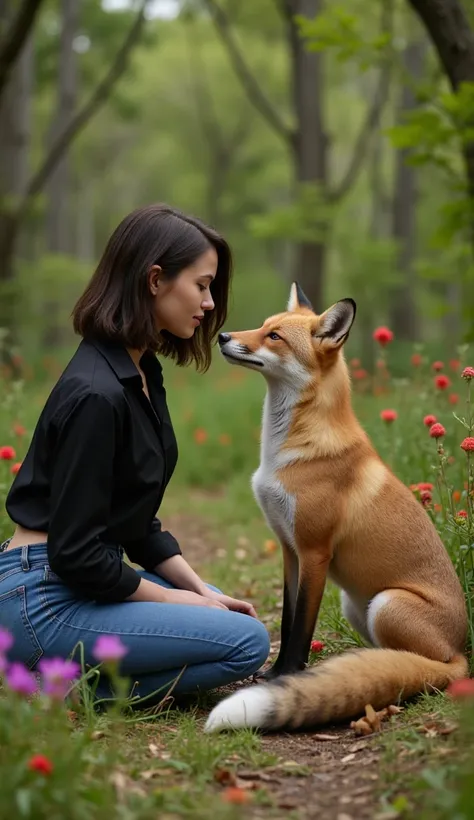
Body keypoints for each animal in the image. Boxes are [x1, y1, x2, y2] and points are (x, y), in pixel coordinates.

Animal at [205, 286, 470, 732]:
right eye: (263, 325)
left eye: (274, 336)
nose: (223, 336)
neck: (284, 454)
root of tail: (460, 653)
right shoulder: (289, 549)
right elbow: (288, 618)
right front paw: (278, 674)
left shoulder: (315, 551)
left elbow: (300, 628)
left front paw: (287, 677)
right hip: (355, 603)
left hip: (387, 603)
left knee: (416, 665)